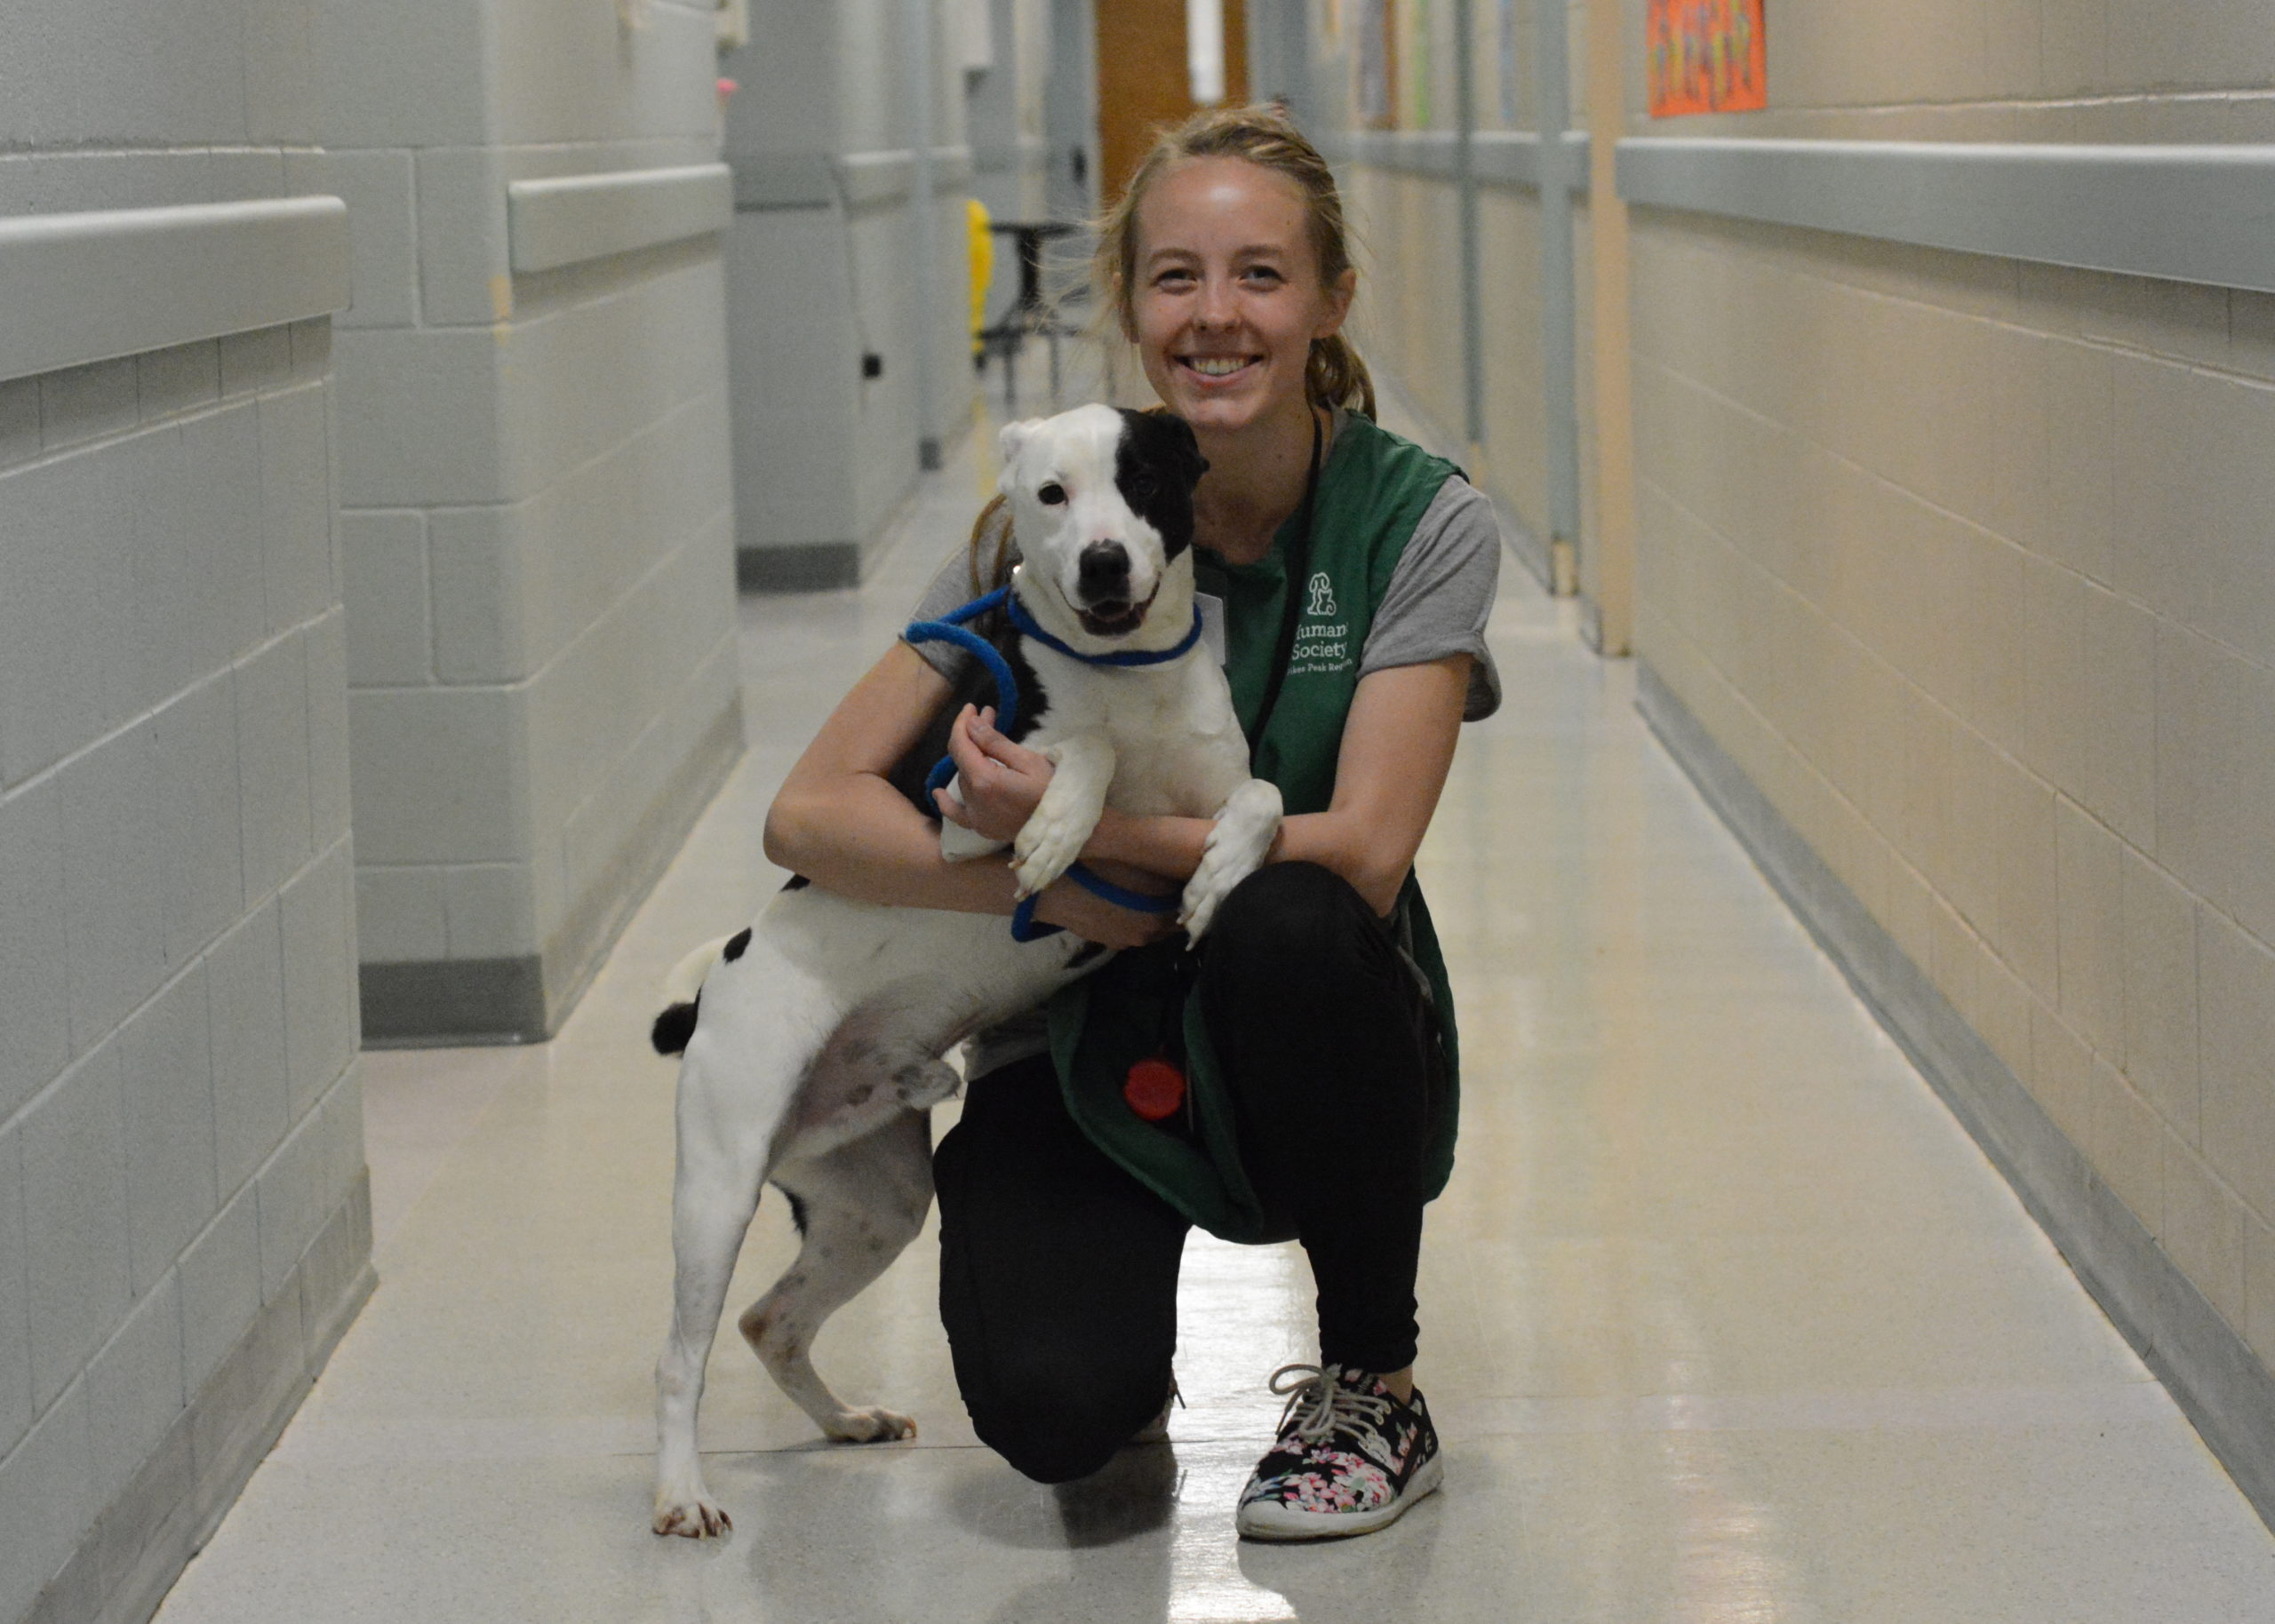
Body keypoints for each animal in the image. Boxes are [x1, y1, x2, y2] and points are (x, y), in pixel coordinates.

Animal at [646, 402, 1282, 1528]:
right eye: (1052, 495)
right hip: (716, 1185)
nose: (1106, 562)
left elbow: (1264, 800)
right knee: (682, 1356)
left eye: (1144, 478)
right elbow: (1080, 754)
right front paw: (1062, 824)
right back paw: (684, 1492)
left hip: (878, 1199)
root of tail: (709, 992)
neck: (1133, 679)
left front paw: (1212, 880)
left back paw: (843, 1420)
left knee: (771, 1320)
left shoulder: (1226, 786)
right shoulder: (959, 815)